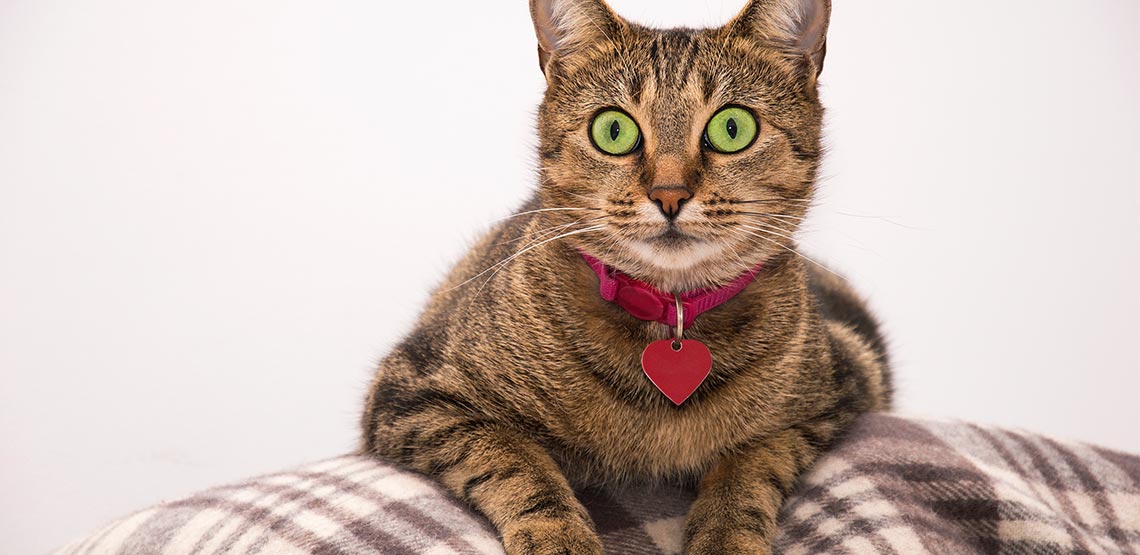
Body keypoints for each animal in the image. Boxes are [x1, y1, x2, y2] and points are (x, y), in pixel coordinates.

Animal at [357, 1, 889, 551]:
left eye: (732, 128)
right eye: (613, 130)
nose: (669, 195)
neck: (667, 316)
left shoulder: (835, 395)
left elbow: (749, 468)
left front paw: (725, 537)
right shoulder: (417, 393)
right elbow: (515, 460)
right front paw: (559, 536)